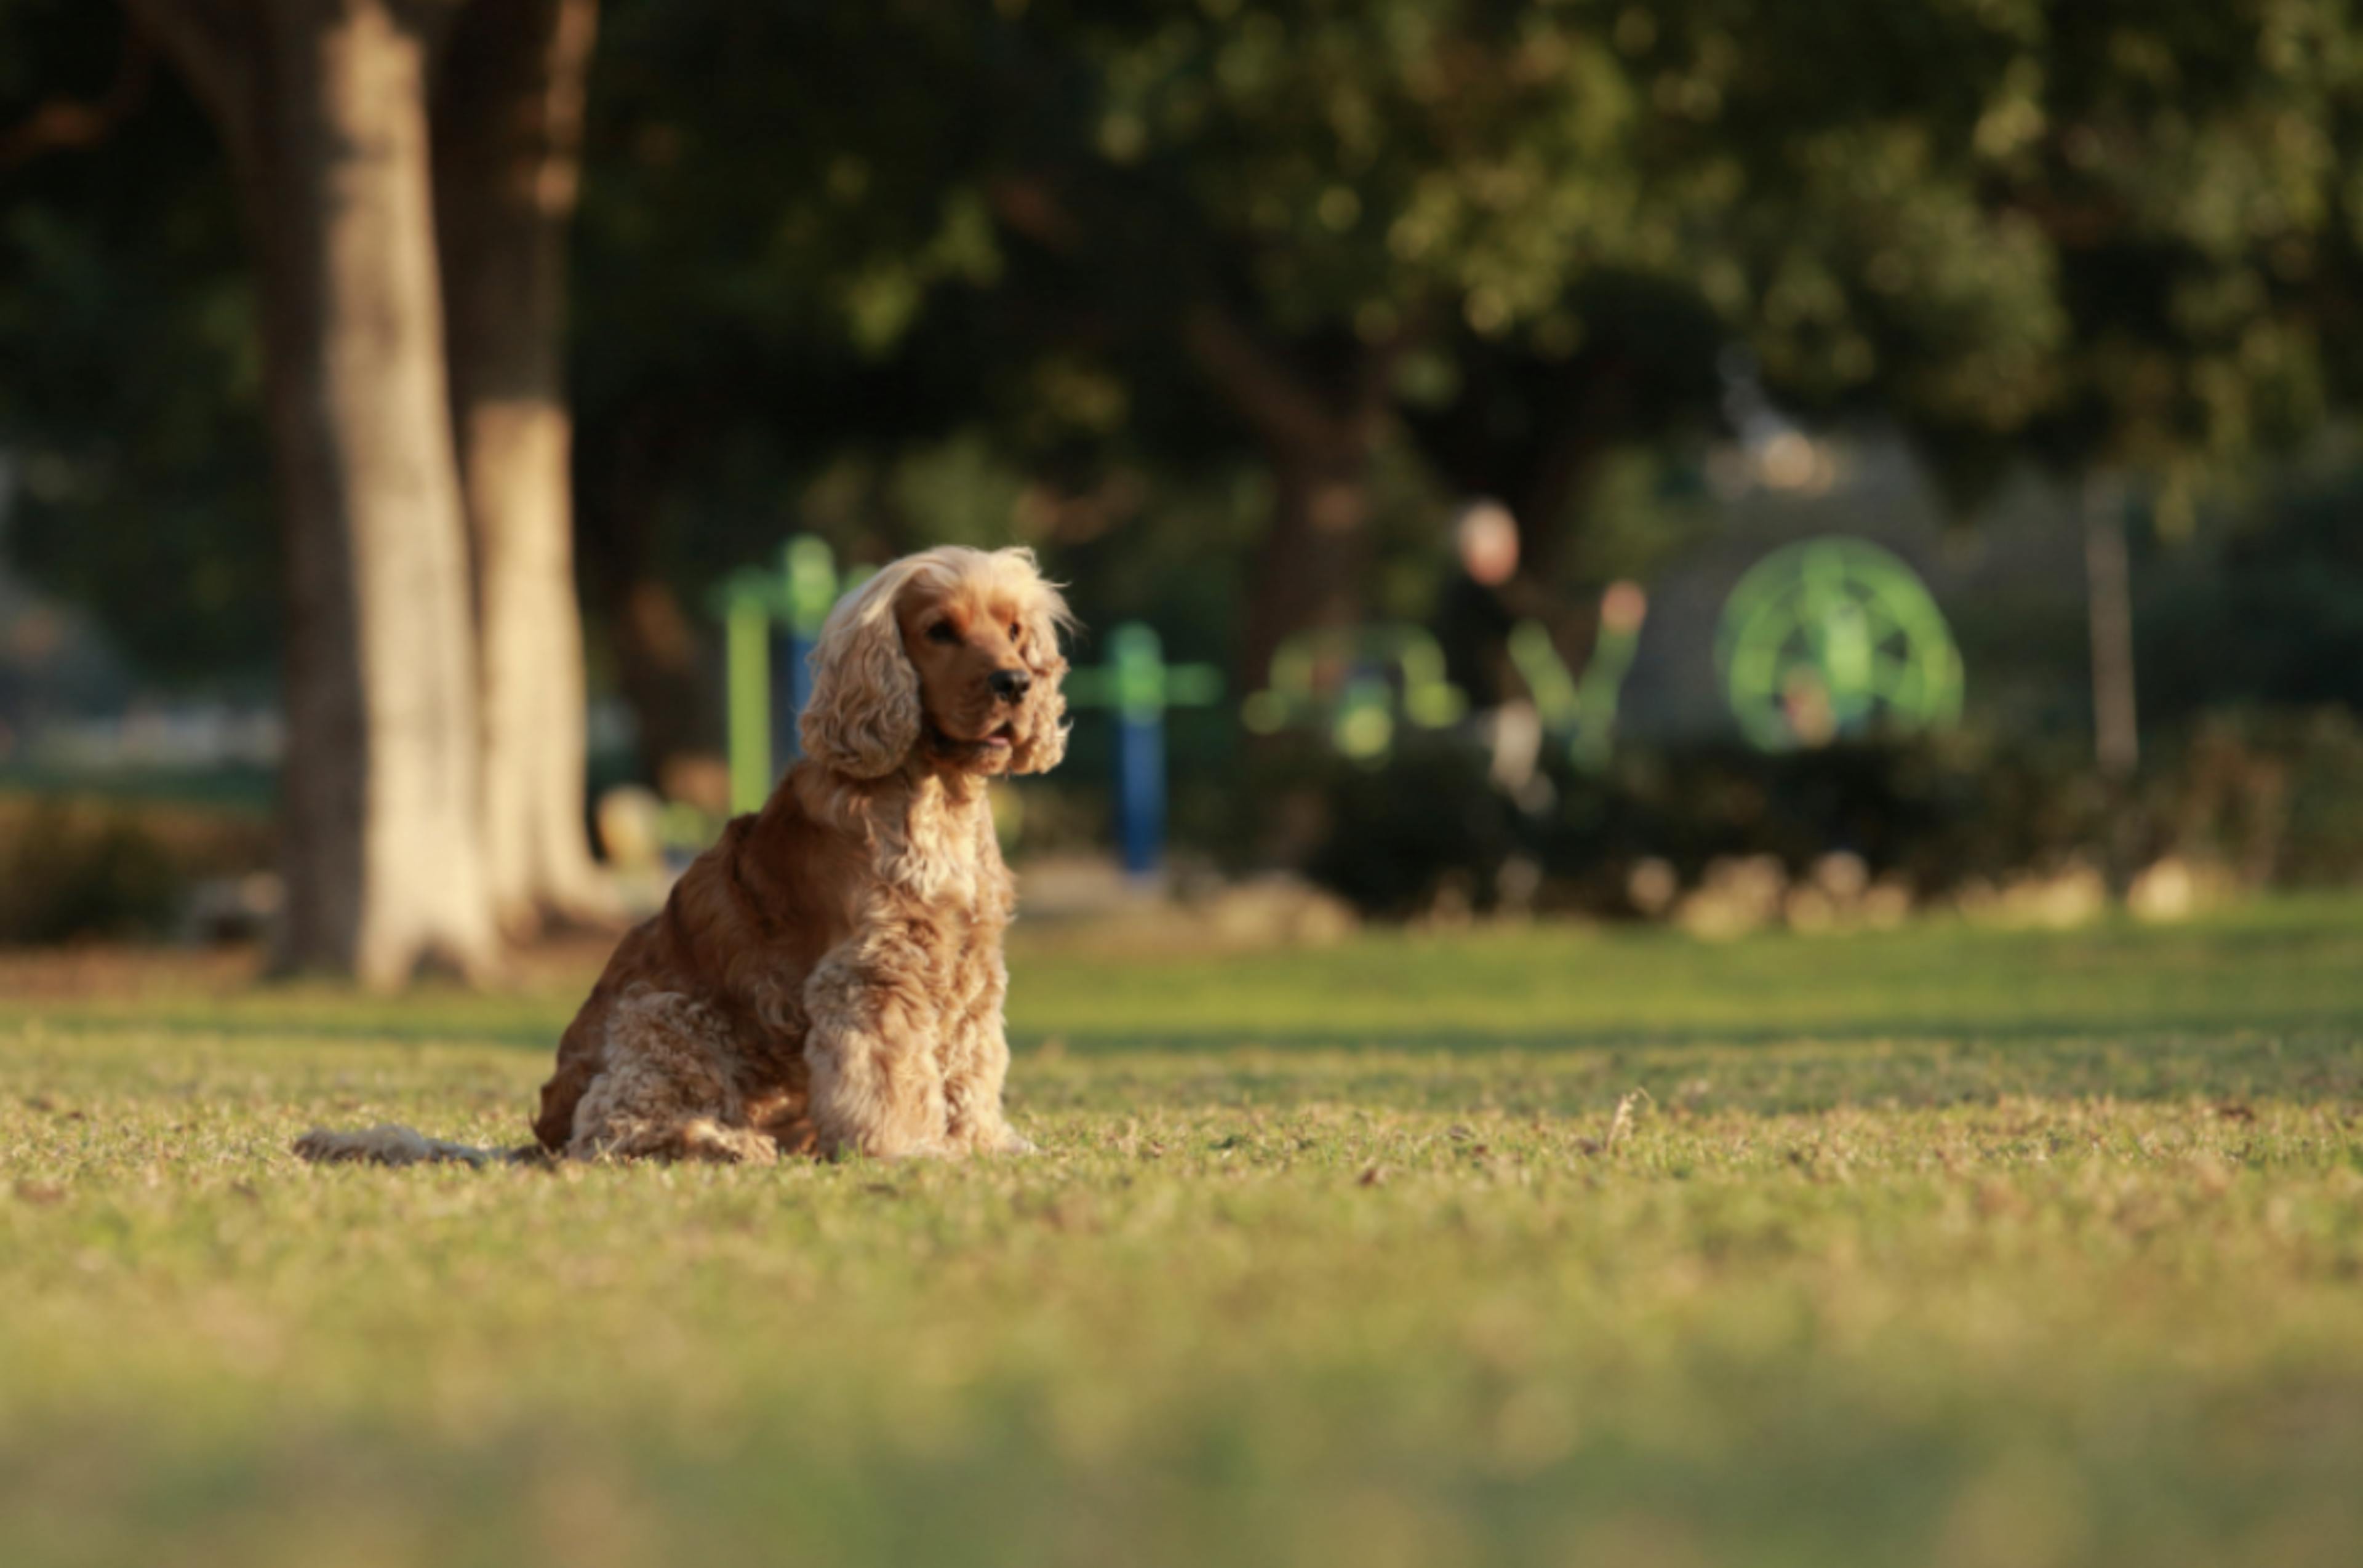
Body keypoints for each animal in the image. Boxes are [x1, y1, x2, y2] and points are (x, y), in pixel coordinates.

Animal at [300, 543, 1078, 1161]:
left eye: (1015, 631)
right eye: (939, 631)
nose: (1016, 682)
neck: (937, 796)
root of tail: (539, 1137)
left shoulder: (972, 968)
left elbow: (971, 1067)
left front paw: (984, 1143)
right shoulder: (870, 974)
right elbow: (887, 1075)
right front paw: (905, 1149)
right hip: (664, 1014)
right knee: (610, 1133)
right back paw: (725, 1143)